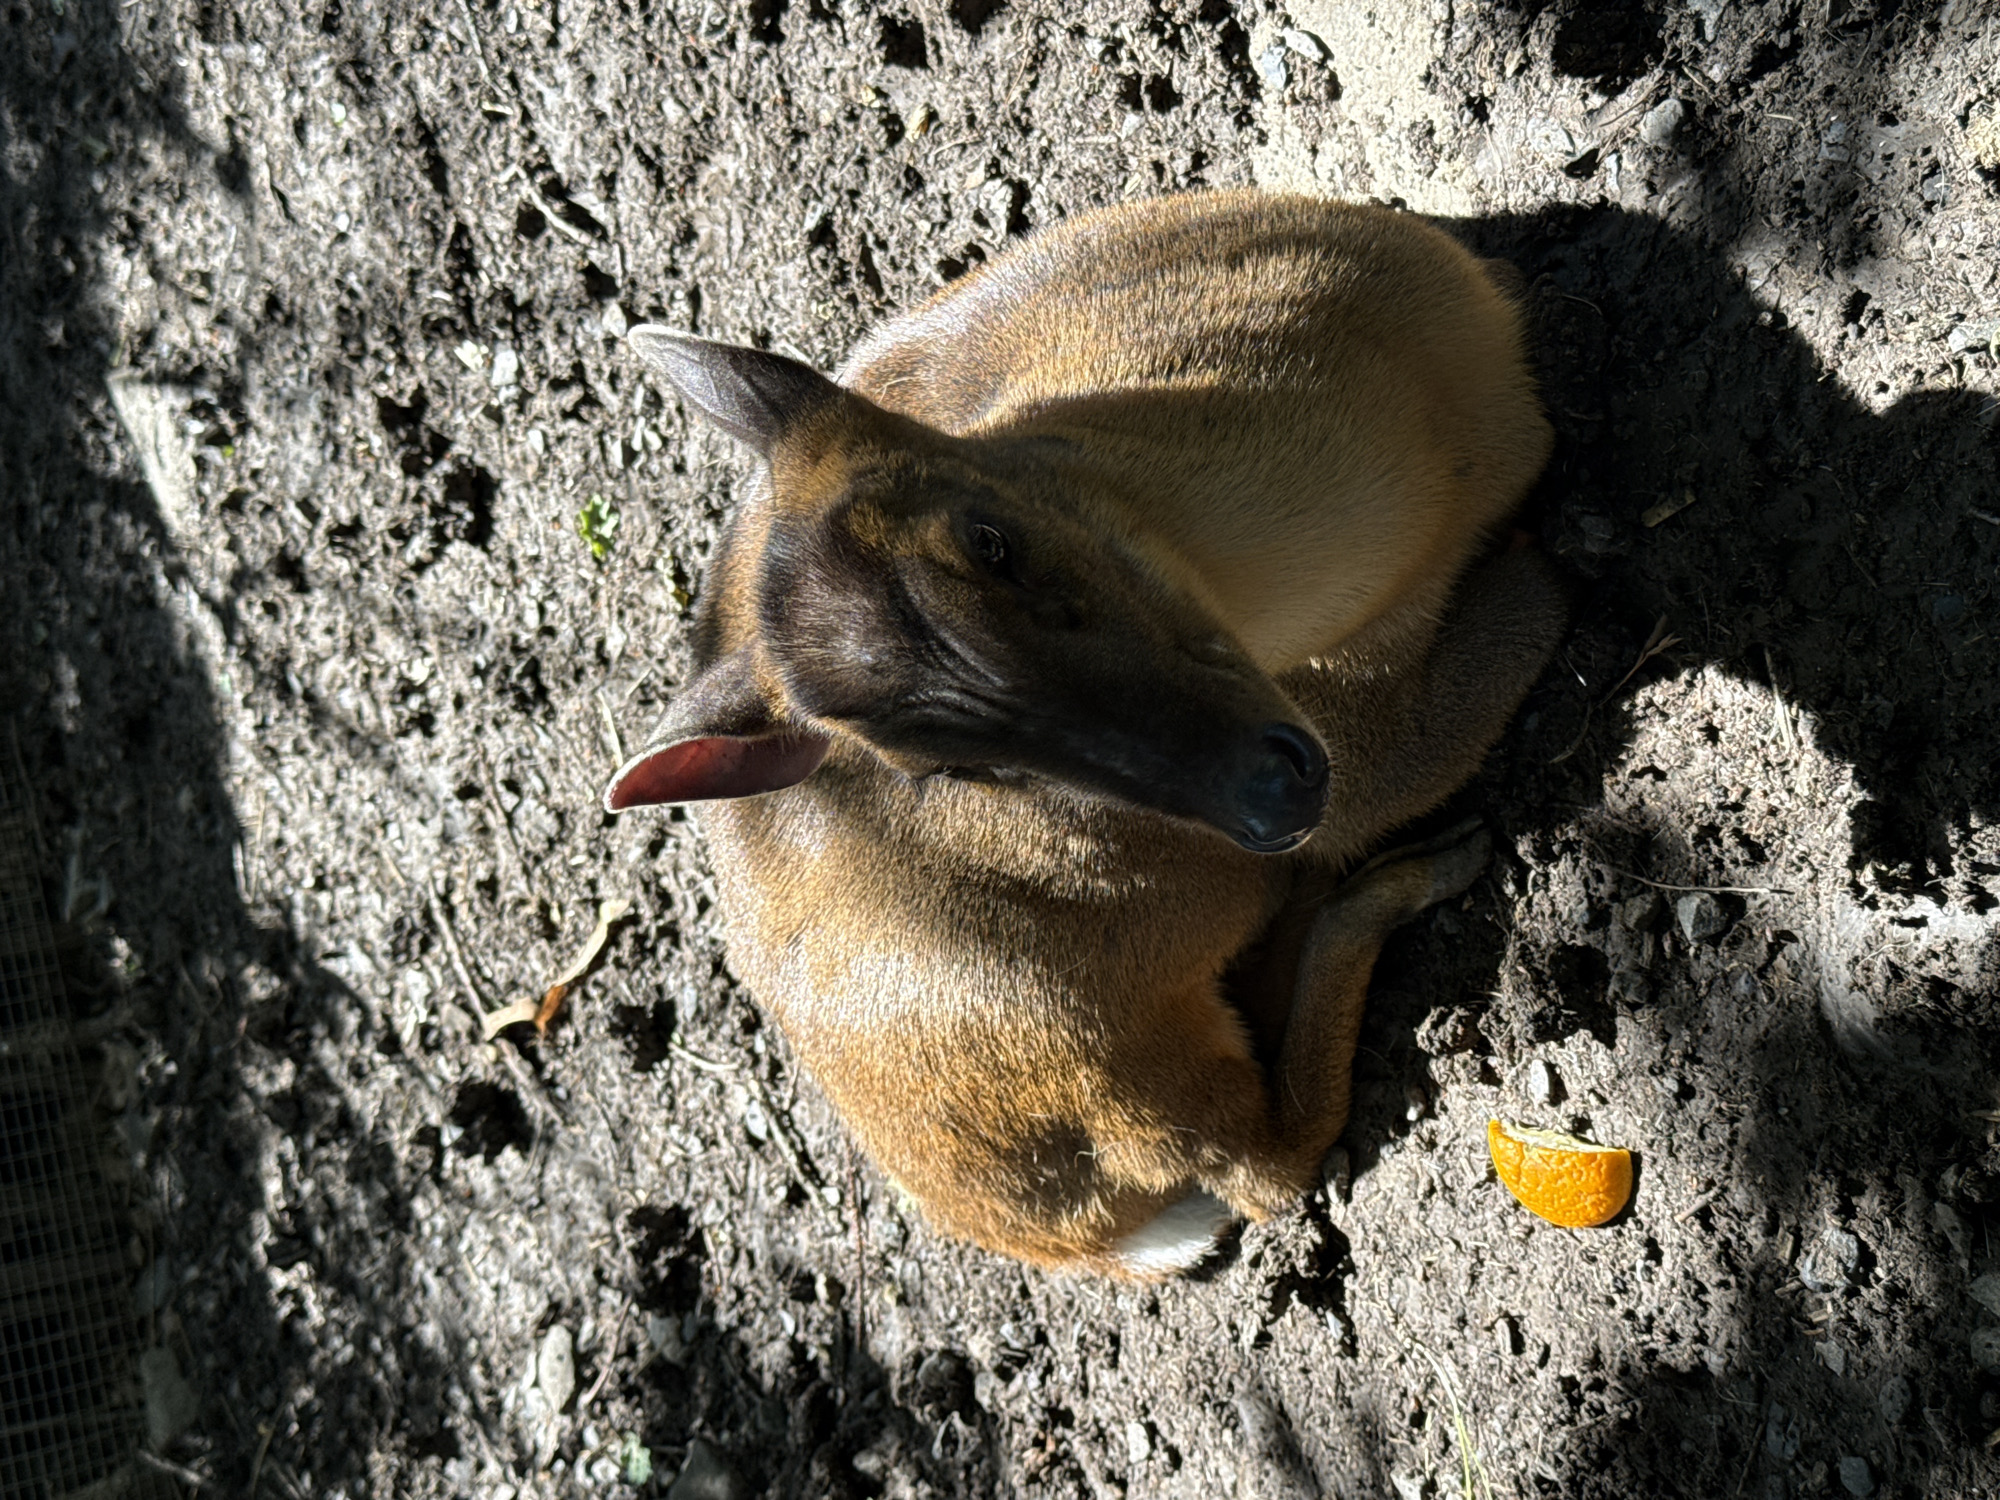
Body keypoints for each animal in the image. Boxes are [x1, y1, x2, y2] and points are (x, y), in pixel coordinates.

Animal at [604, 190, 1565, 1277]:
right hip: (1114, 1059)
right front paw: (1534, 582)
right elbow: (1483, 675)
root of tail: (1065, 1235)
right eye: (949, 764)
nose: (1264, 794)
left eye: (989, 537)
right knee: (1269, 1162)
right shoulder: (1366, 750)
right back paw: (1417, 868)